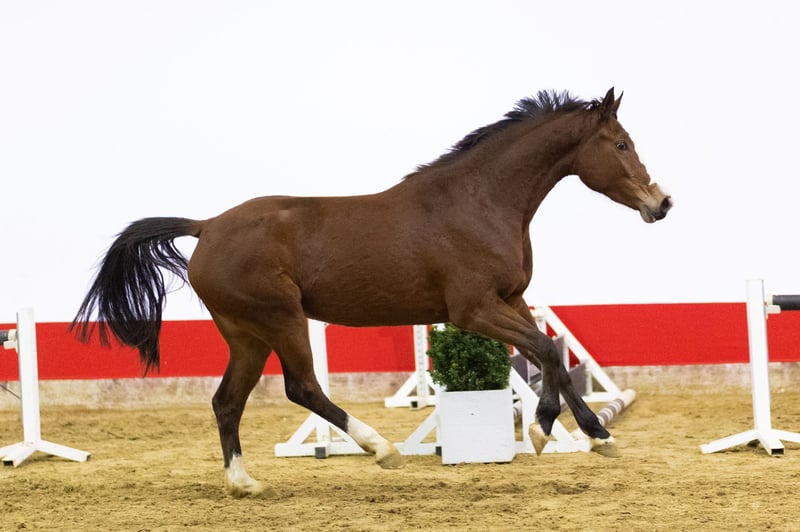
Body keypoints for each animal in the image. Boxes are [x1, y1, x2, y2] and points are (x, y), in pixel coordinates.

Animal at [70, 87, 672, 498]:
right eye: (621, 143)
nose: (660, 203)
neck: (479, 201)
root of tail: (207, 226)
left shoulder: (513, 301)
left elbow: (550, 356)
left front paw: (587, 433)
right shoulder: (474, 310)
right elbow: (546, 350)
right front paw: (558, 431)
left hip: (247, 335)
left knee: (226, 401)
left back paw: (245, 483)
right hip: (281, 321)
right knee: (302, 389)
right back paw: (380, 449)